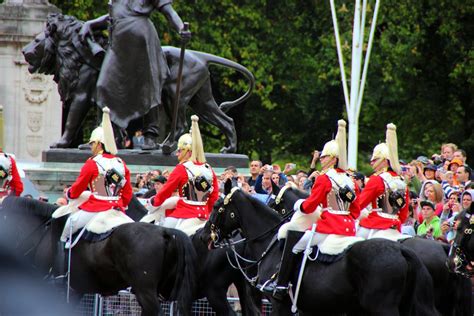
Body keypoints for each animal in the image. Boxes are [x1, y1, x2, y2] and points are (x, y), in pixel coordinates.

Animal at [209, 183, 438, 316]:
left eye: (217, 206)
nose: (206, 237)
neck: (270, 243)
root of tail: (401, 251)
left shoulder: (280, 304)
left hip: (382, 307)